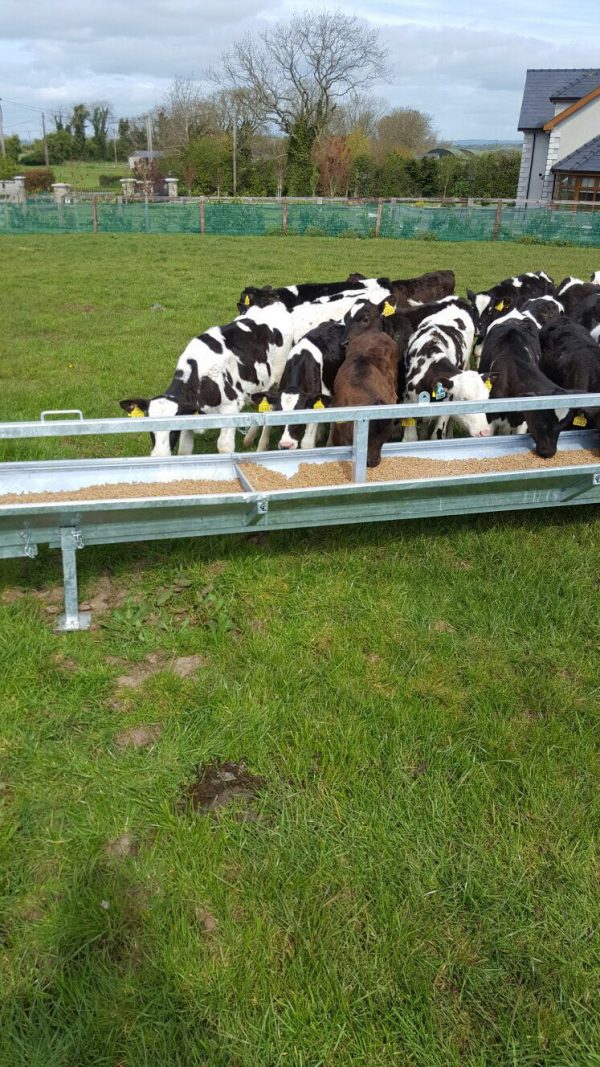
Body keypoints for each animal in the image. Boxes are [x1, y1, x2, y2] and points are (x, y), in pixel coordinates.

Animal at [117, 300, 292, 454]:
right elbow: (184, 451)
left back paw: (261, 445)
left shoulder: (231, 407)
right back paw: (249, 437)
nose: (159, 455)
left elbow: (224, 447)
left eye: (174, 429)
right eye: (148, 427)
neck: (201, 378)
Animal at [399, 296, 488, 437]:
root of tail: (456, 298)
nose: (484, 431)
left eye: (487, 398)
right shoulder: (408, 404)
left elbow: (437, 434)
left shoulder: (446, 406)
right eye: (464, 399)